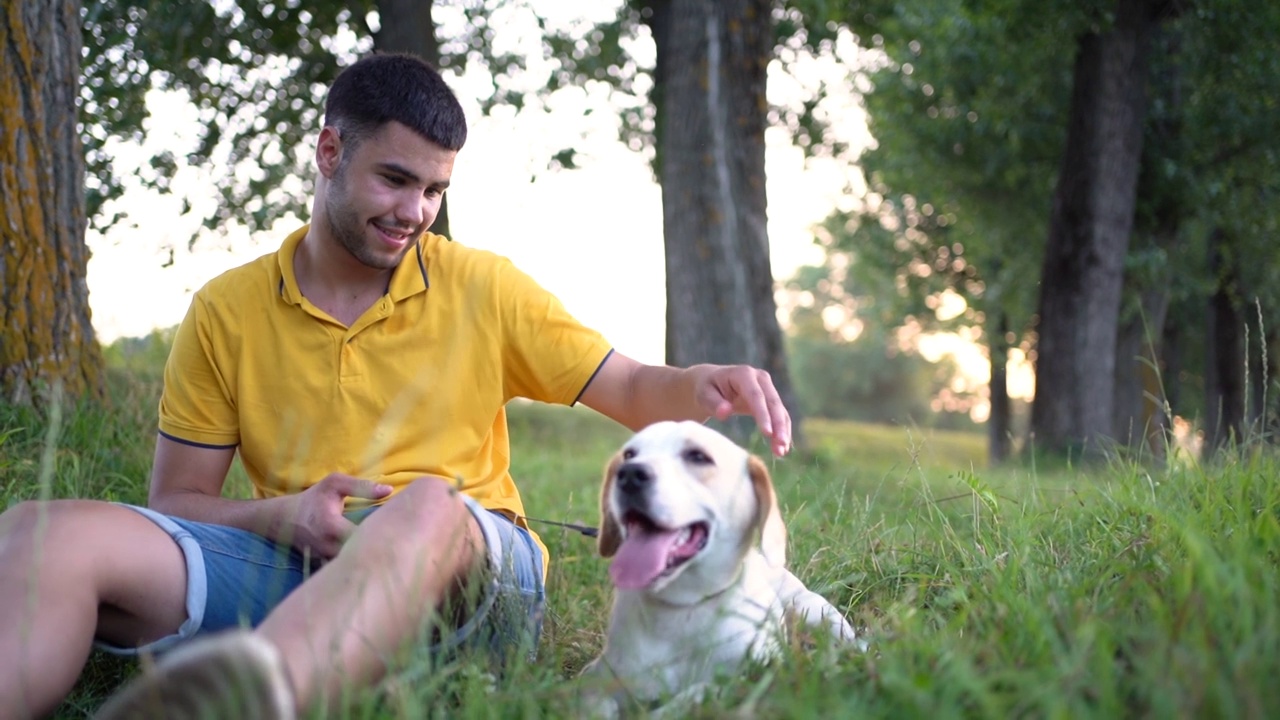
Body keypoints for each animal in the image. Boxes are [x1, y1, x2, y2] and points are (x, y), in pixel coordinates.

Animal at [581, 417, 860, 707]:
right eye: (629, 454)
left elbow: (695, 694)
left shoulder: (751, 677)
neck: (686, 606)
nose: (629, 474)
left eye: (697, 456)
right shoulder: (598, 677)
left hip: (815, 611)